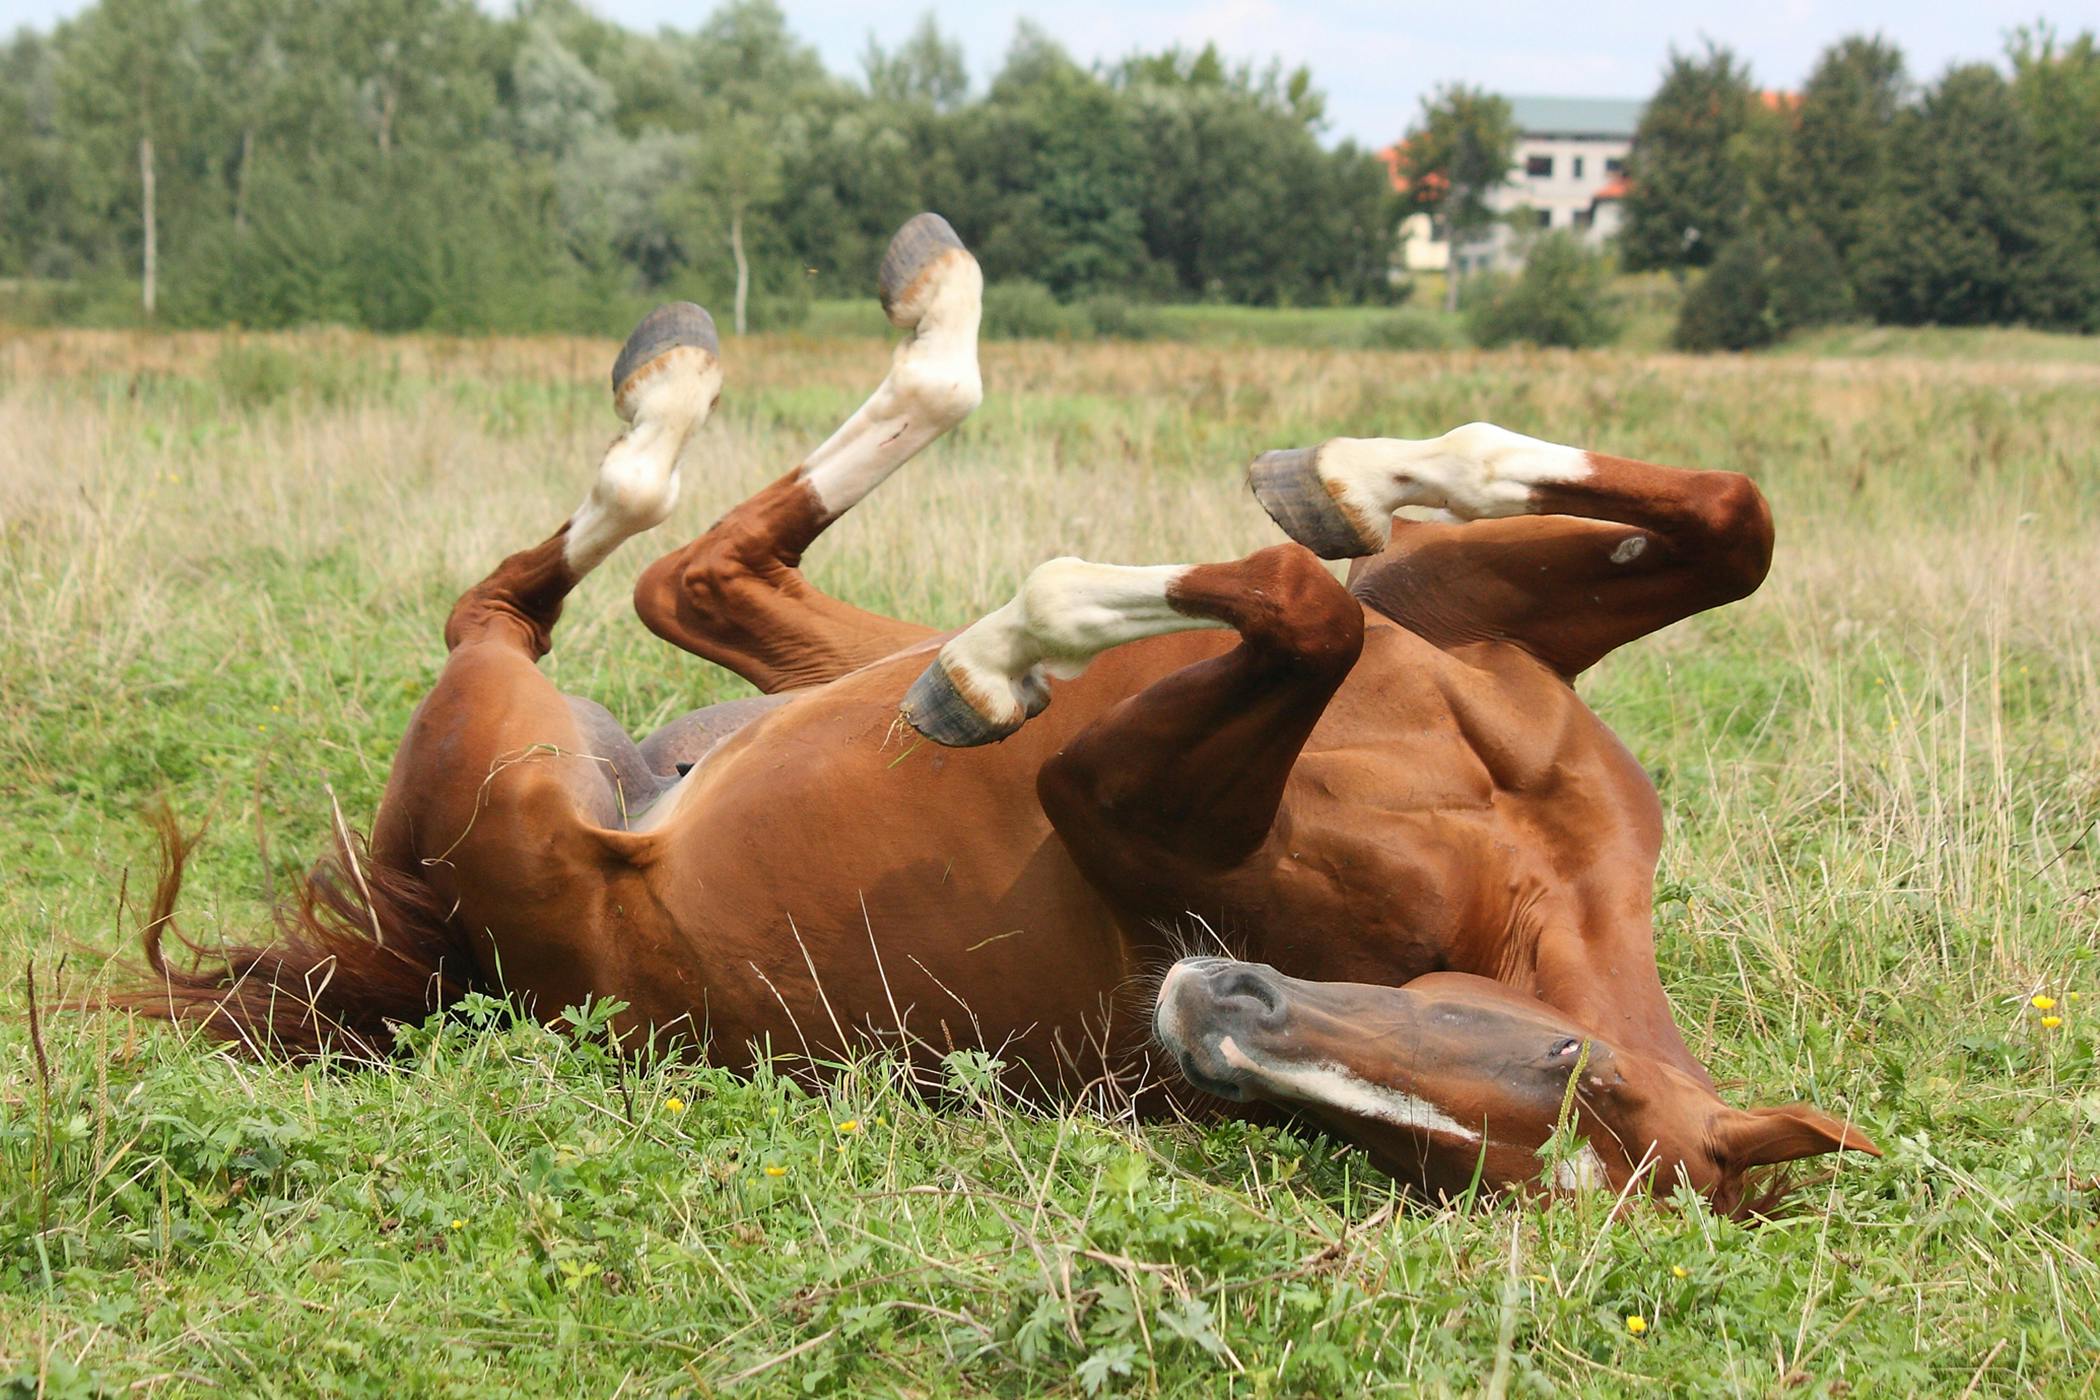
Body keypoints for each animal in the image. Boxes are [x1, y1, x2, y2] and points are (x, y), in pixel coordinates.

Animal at [114, 214, 1881, 1208]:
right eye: (1573, 1068)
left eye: (1441, 1164)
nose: (1215, 1024)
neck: (1523, 876)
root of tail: (441, 941)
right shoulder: (1454, 622)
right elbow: (1726, 517)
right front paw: (1342, 477)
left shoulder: (1109, 790)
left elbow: (1290, 604)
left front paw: (1008, 652)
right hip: (776, 671)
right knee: (683, 570)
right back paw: (842, 322)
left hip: (516, 738)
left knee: (560, 588)